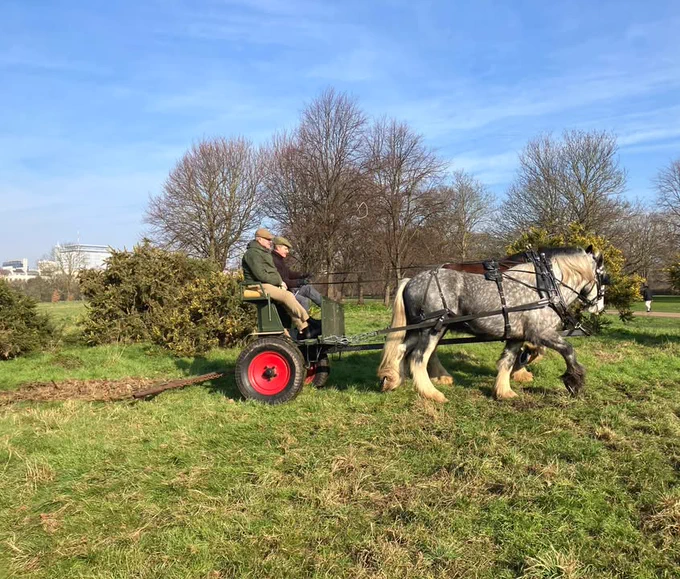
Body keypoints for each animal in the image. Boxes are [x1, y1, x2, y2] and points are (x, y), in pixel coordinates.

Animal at [377, 245, 607, 403]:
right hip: (432, 328)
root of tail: (410, 280)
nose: (599, 307)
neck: (545, 287)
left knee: (401, 350)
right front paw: (574, 381)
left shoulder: (517, 336)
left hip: (420, 330)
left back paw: (392, 379)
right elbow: (568, 350)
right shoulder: (542, 332)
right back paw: (432, 393)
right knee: (418, 358)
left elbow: (507, 361)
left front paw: (505, 391)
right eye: (605, 278)